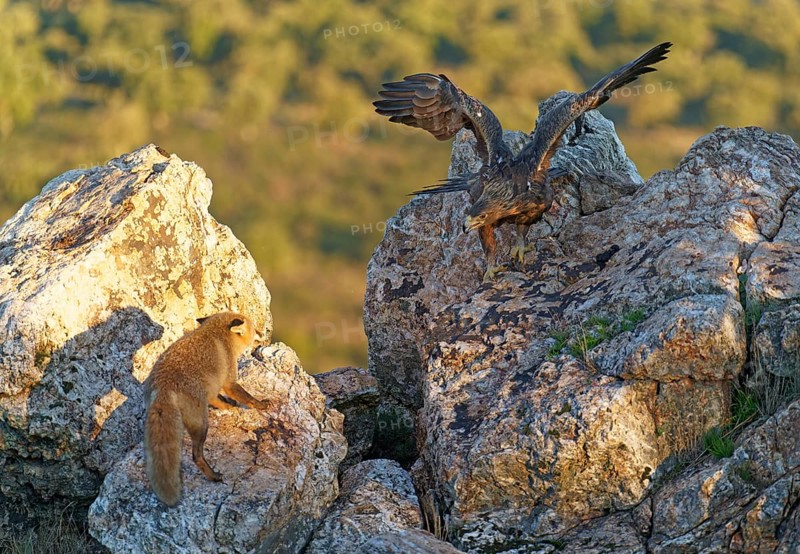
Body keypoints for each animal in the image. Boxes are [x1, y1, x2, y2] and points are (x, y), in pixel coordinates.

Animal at [143, 311, 271, 506]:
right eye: (254, 328)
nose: (261, 333)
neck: (218, 335)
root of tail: (162, 387)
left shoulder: (212, 389)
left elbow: (219, 400)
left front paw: (229, 406)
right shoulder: (229, 381)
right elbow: (247, 398)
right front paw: (261, 404)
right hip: (202, 423)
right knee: (196, 455)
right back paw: (213, 476)